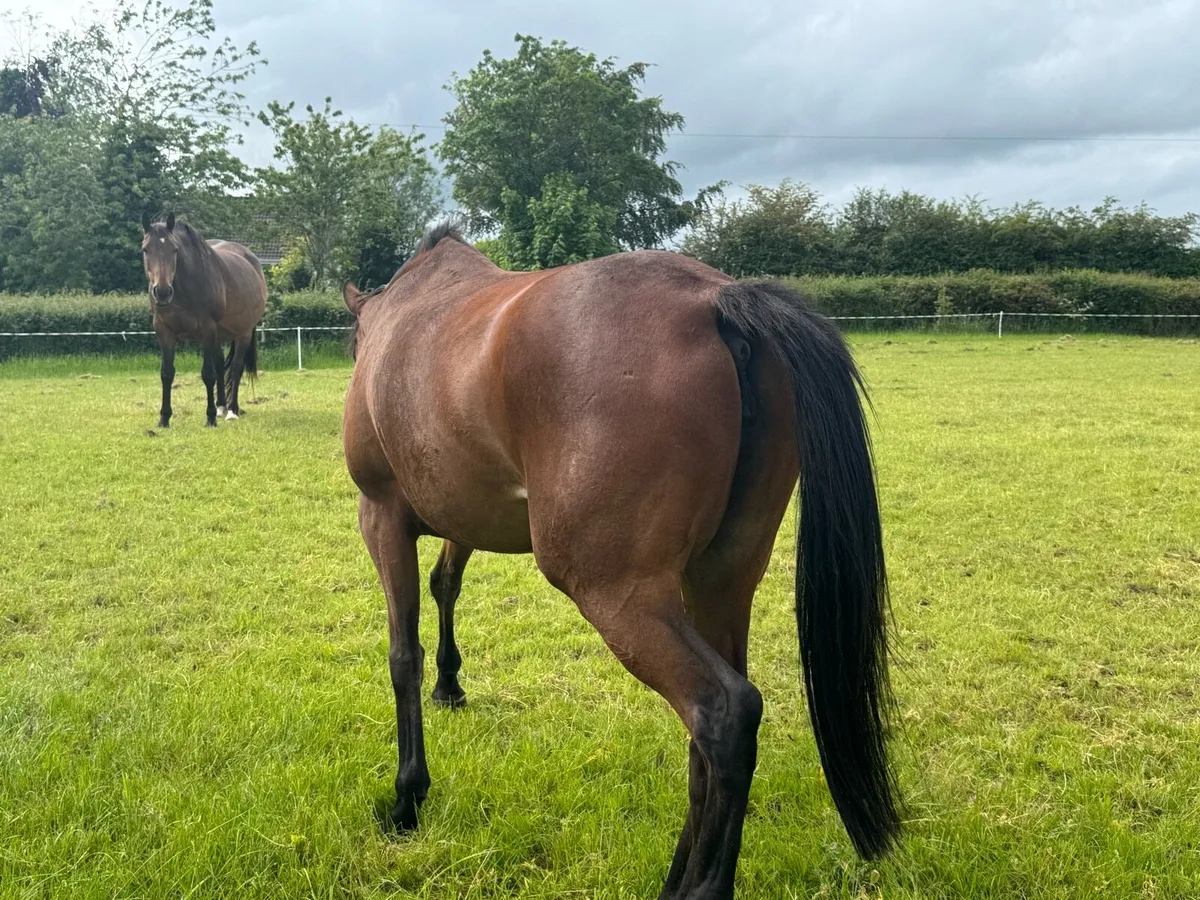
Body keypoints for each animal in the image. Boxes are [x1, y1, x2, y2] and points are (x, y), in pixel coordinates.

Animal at [140, 211, 267, 428]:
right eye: (145, 249)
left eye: (174, 249)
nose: (162, 292)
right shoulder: (164, 331)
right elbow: (167, 373)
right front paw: (164, 419)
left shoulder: (207, 330)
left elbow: (208, 374)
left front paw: (210, 418)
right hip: (219, 336)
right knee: (220, 365)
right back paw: (221, 407)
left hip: (243, 333)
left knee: (236, 368)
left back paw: (232, 410)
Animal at [341, 224, 901, 899]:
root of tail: (715, 300)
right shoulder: (460, 516)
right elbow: (445, 585)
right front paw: (451, 686)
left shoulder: (382, 517)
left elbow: (404, 656)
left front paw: (408, 798)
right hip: (718, 581)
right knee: (706, 735)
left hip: (618, 594)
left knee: (725, 713)